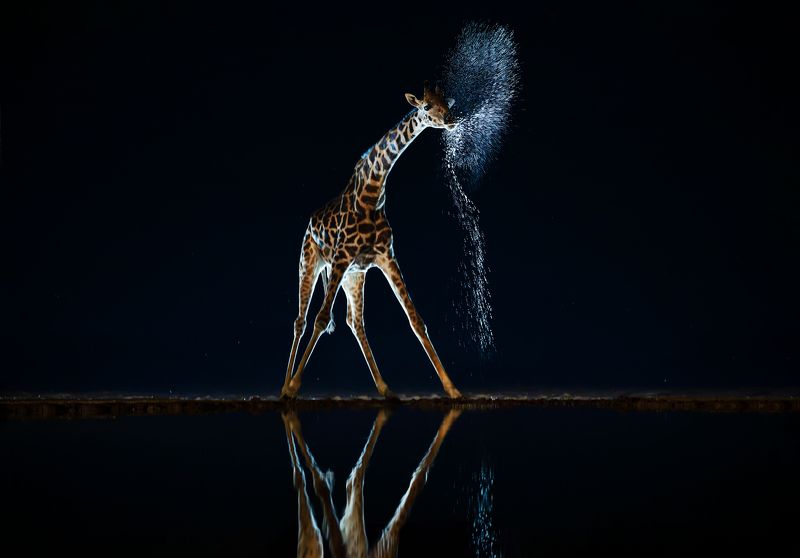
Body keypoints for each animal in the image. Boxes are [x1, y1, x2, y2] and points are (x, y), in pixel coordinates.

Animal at [281, 81, 462, 400]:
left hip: (353, 275)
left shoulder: (385, 256)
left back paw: (385, 388)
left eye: (446, 103)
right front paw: (293, 386)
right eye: (426, 106)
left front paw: (452, 389)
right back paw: (283, 388)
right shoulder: (341, 256)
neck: (372, 191)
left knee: (355, 322)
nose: (451, 120)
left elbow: (416, 320)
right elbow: (320, 319)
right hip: (311, 263)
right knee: (301, 321)